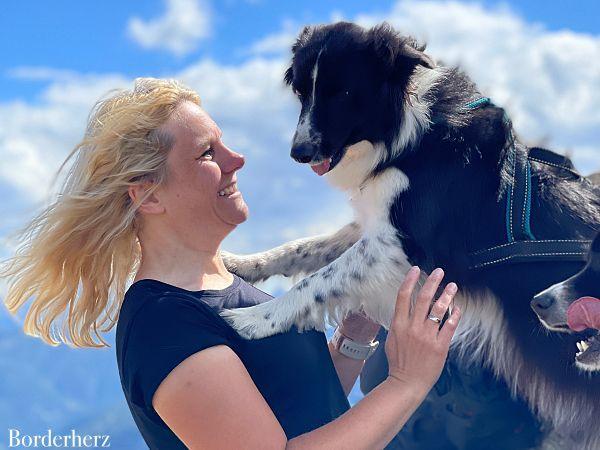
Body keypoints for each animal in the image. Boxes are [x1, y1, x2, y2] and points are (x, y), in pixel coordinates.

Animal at [220, 22, 600, 450]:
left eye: (343, 93)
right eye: (302, 93)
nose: (298, 153)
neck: (410, 135)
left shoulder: (401, 245)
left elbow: (319, 280)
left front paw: (254, 319)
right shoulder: (381, 223)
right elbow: (304, 248)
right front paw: (242, 264)